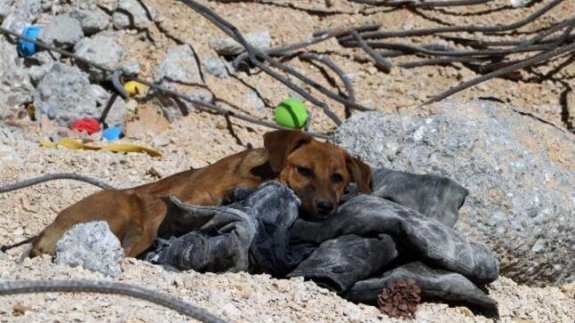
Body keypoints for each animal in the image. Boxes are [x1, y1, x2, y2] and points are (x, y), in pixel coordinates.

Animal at [30, 130, 374, 260]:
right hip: (119, 205)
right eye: (304, 170)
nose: (326, 207)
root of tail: (44, 233)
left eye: (338, 178)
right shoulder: (176, 201)